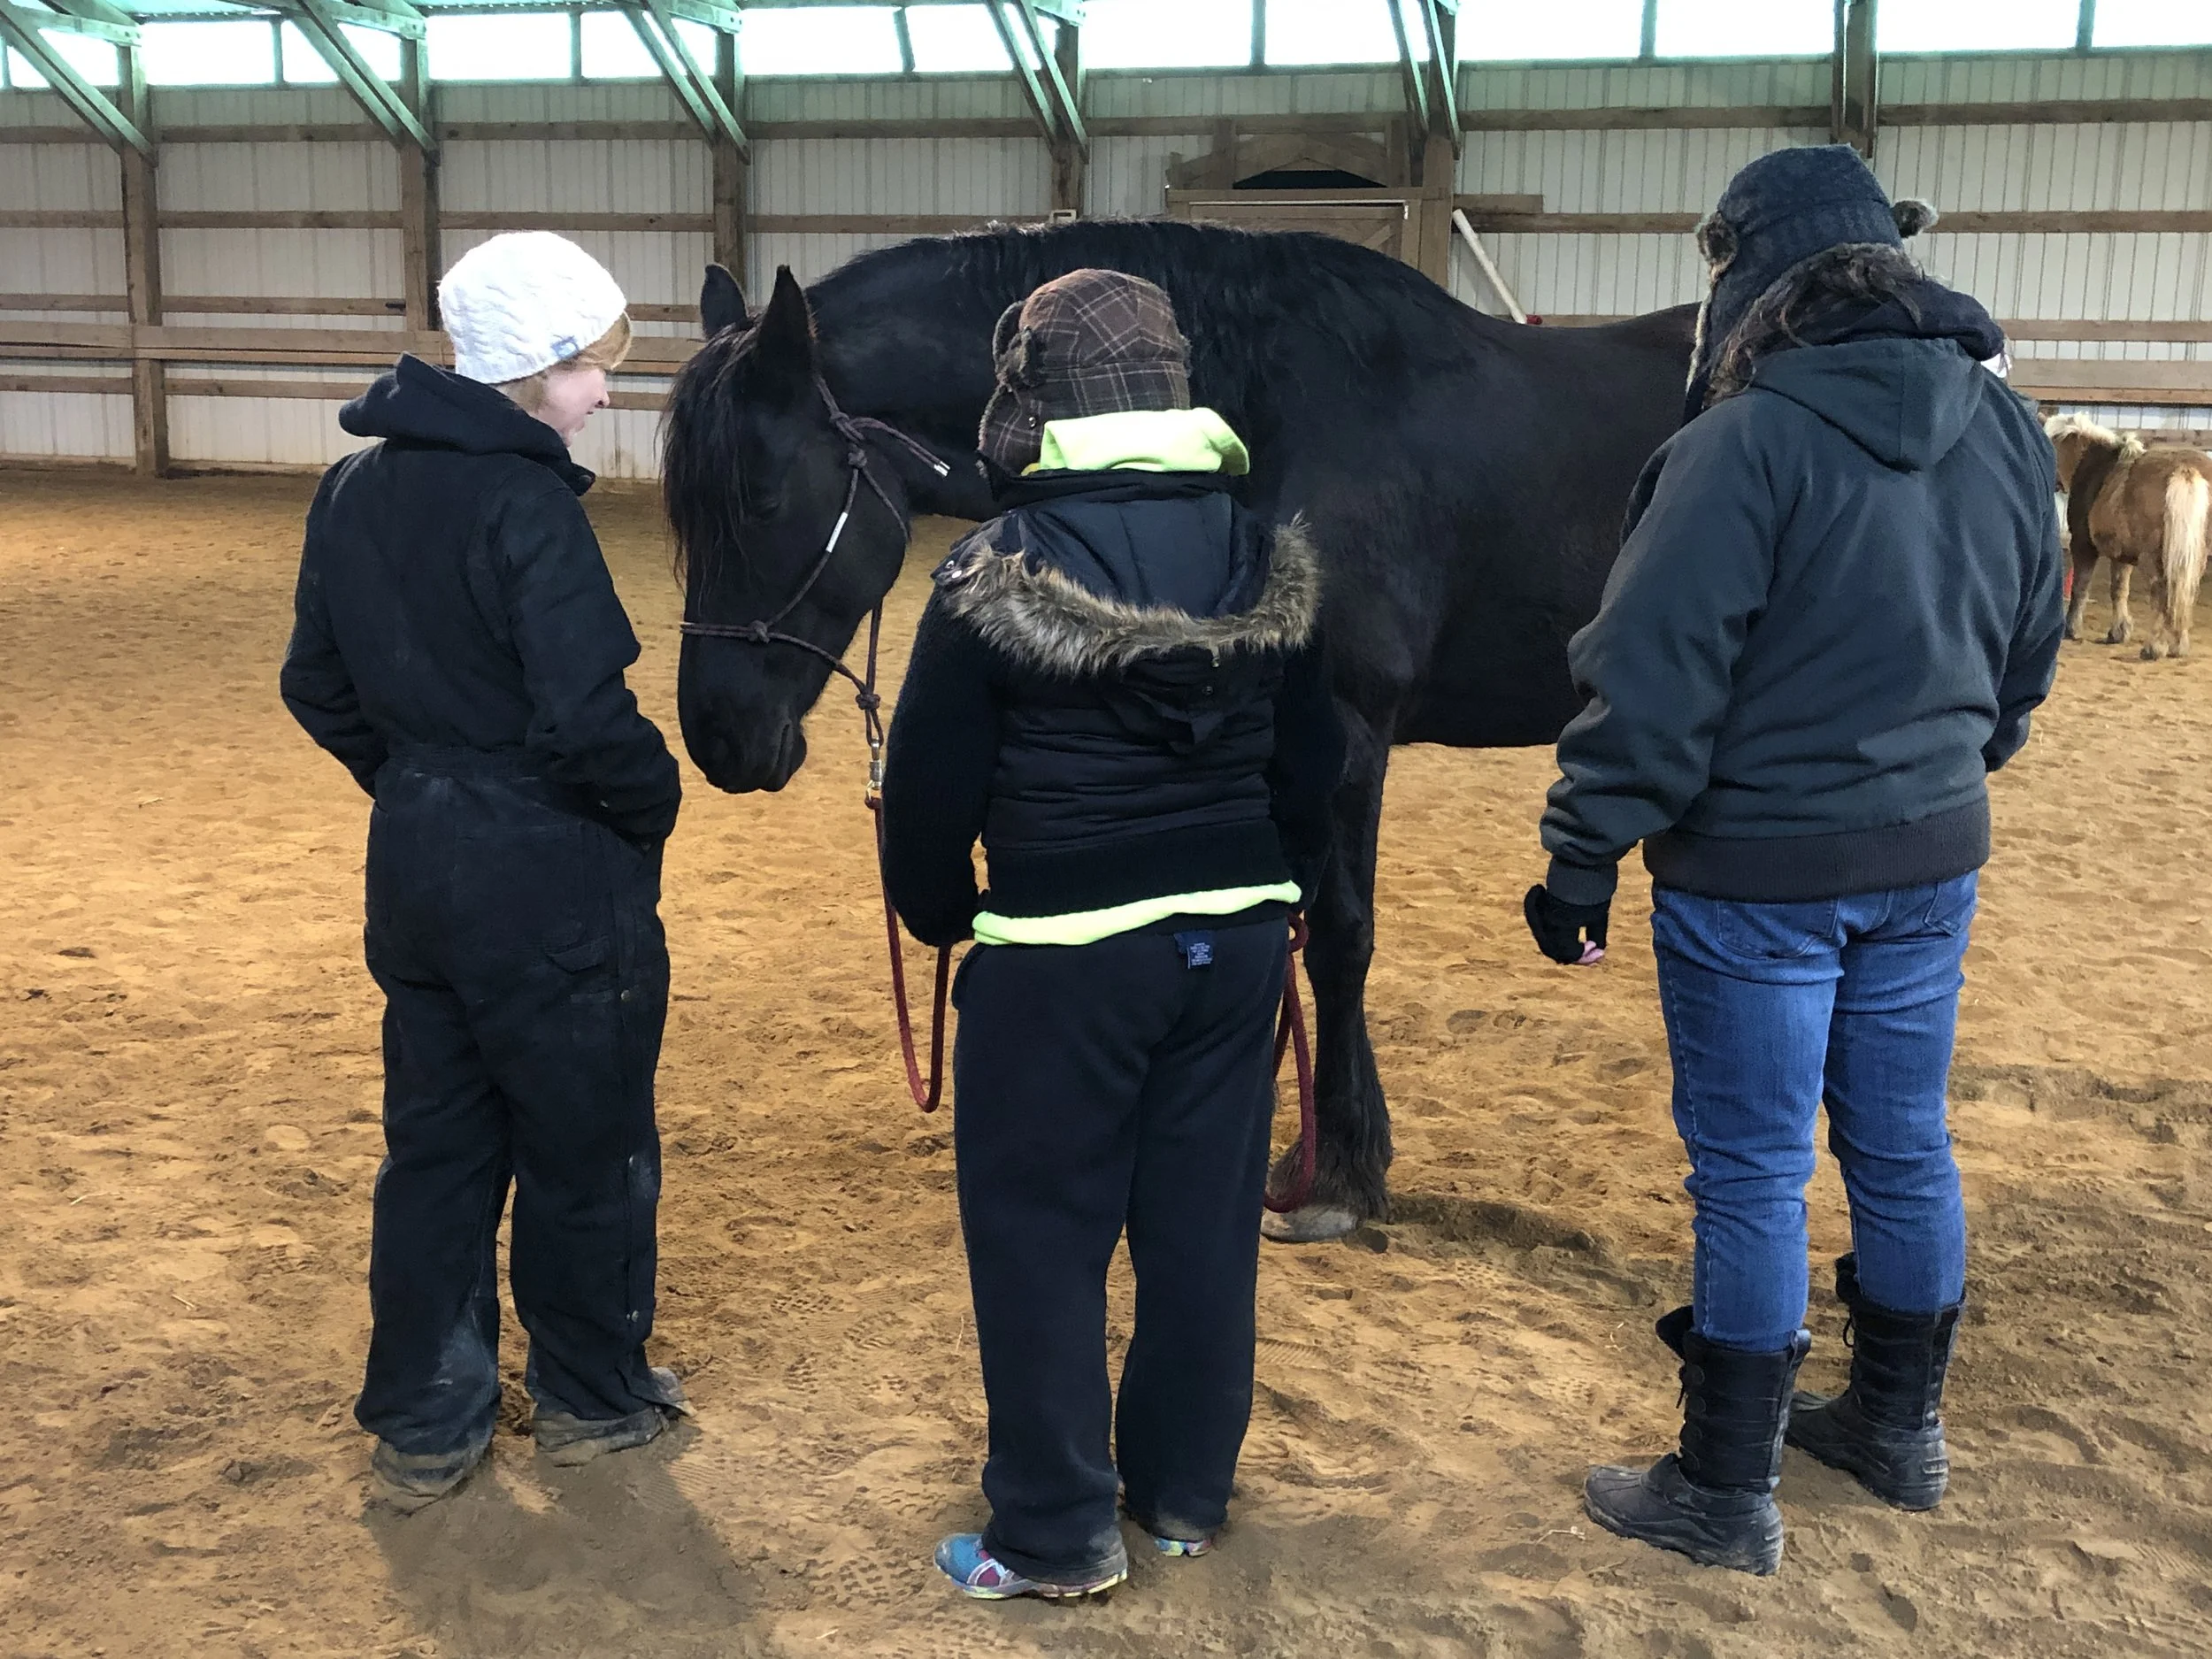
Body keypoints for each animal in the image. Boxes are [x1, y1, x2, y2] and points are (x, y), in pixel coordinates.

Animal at [662, 219, 1695, 1241]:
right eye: (687, 511)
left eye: (761, 497)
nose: (718, 737)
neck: (1277, 413)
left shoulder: (1345, 734)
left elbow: (1338, 938)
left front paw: (1334, 1173)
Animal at [2047, 413, 2212, 661]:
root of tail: (2185, 470)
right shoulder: (2121, 555)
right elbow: (2119, 590)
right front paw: (2118, 632)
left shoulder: (2083, 545)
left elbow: (2080, 586)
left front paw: (2072, 629)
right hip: (2194, 555)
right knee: (2184, 590)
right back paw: (2178, 645)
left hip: (2153, 557)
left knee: (2160, 592)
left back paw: (2153, 647)